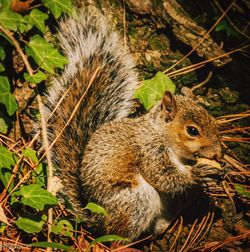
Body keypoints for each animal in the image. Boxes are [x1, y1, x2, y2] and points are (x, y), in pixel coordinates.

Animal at [46, 10, 224, 241]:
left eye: (213, 120)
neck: (159, 132)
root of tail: (95, 218)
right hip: (136, 199)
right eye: (192, 131)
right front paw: (196, 174)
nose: (219, 154)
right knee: (118, 235)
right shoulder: (149, 150)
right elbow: (163, 176)